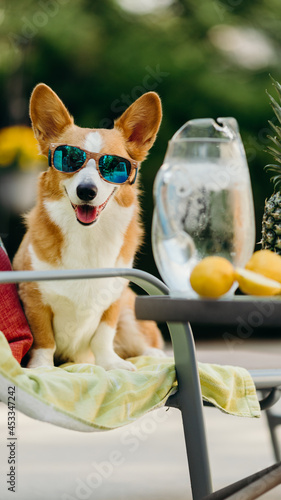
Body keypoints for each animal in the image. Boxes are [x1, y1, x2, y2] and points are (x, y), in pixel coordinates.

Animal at [12, 84, 162, 370]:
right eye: (70, 159)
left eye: (113, 165)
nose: (86, 191)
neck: (88, 236)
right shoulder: (34, 299)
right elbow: (44, 340)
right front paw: (42, 368)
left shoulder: (113, 302)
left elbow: (103, 336)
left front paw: (110, 363)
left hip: (130, 315)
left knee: (145, 345)